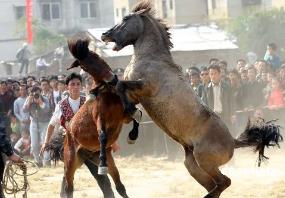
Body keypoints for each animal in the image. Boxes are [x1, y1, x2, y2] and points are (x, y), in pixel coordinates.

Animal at [50, 35, 141, 198]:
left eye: (97, 56)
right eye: (85, 67)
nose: (112, 79)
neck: (107, 93)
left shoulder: (123, 117)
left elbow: (136, 117)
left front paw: (132, 136)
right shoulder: (100, 118)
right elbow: (103, 135)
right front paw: (102, 165)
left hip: (99, 160)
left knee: (119, 186)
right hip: (70, 162)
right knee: (68, 187)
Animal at [100, 0, 282, 197]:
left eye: (126, 18)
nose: (104, 35)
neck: (151, 59)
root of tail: (233, 142)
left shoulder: (145, 87)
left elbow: (121, 87)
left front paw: (132, 124)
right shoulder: (135, 94)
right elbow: (118, 91)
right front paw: (129, 123)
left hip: (204, 159)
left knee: (224, 182)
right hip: (192, 163)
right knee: (215, 185)